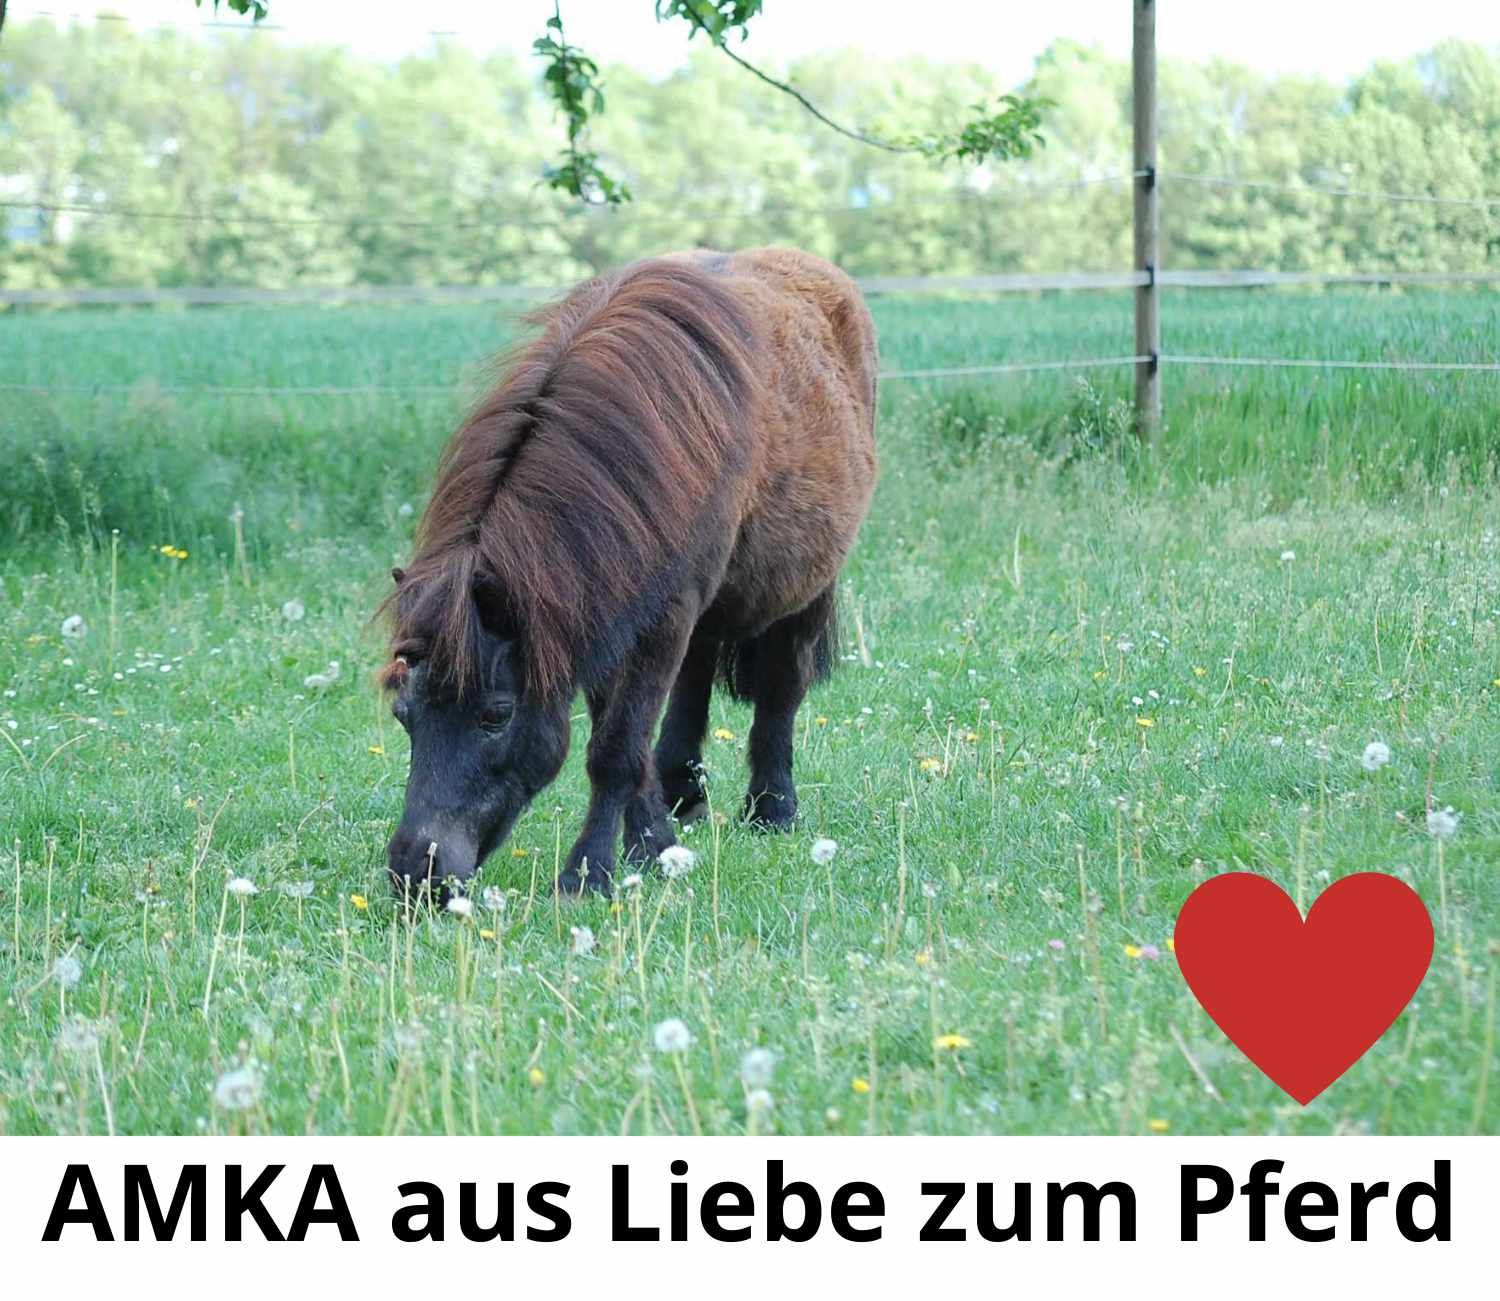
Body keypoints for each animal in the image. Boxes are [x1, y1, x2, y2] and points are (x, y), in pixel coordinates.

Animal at [379, 246, 878, 895]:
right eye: (403, 714)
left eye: (495, 715)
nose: (417, 872)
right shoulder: (603, 613)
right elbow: (625, 738)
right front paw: (653, 845)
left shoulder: (662, 617)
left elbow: (614, 749)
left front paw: (588, 872)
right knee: (693, 683)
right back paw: (683, 794)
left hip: (805, 593)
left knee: (780, 694)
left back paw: (772, 809)